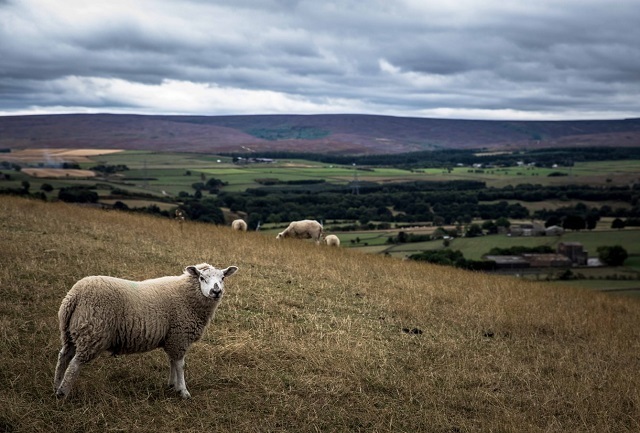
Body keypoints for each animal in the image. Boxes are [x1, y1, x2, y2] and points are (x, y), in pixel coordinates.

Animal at [53, 260, 240, 398]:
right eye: (201, 278)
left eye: (223, 278)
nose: (216, 291)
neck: (187, 296)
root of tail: (75, 295)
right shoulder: (180, 336)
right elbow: (180, 365)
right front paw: (183, 391)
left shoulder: (172, 337)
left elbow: (172, 361)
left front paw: (172, 385)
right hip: (93, 332)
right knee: (74, 364)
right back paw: (63, 393)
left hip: (70, 332)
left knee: (63, 356)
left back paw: (56, 385)